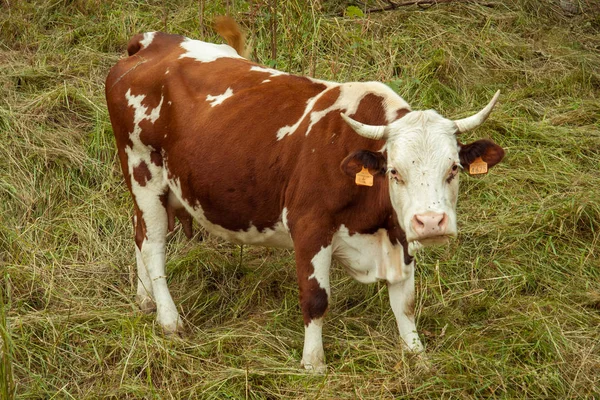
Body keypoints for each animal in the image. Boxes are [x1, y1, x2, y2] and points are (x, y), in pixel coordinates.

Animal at [105, 19, 504, 372]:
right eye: (394, 171)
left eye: (453, 168)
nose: (430, 222)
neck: (375, 226)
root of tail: (152, 41)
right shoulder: (310, 226)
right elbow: (315, 300)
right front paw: (313, 364)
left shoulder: (400, 234)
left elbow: (404, 302)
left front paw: (418, 359)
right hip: (143, 173)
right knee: (153, 245)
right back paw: (168, 319)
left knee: (139, 233)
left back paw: (145, 299)